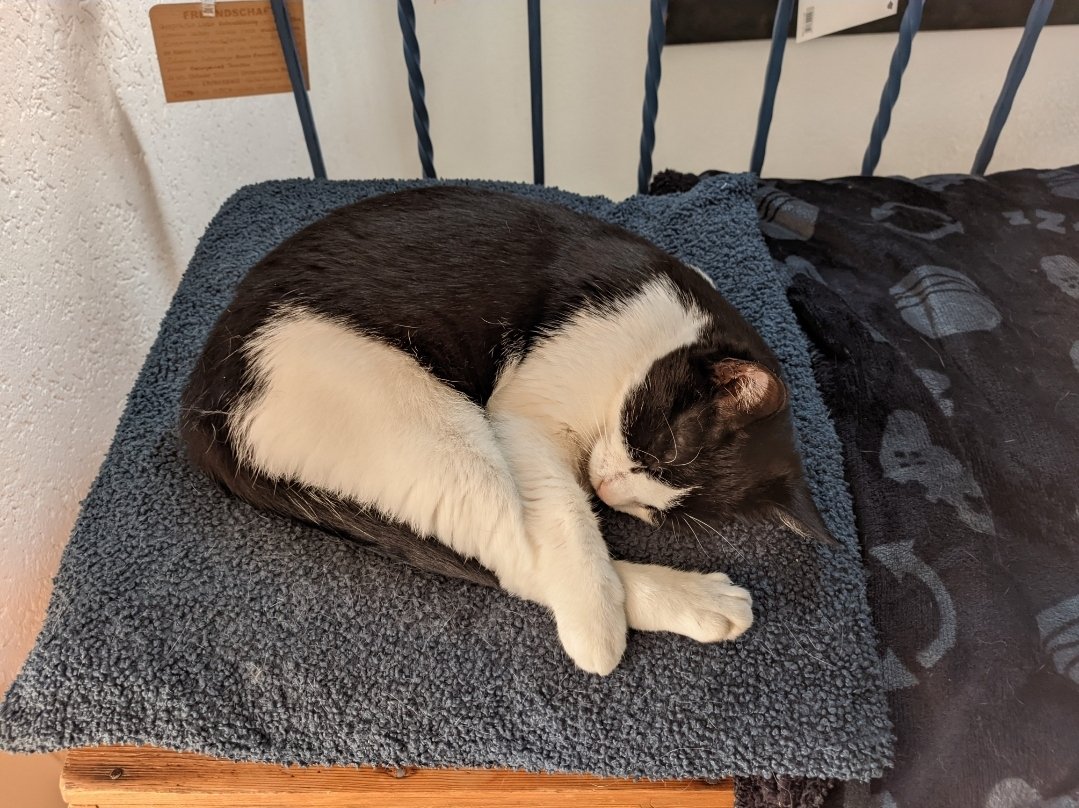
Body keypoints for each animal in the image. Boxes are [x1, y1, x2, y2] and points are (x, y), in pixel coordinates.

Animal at [180, 186, 835, 675]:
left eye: (655, 511)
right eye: (655, 448)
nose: (610, 493)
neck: (660, 329)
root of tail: (203, 396)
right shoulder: (522, 416)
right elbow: (566, 513)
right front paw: (598, 617)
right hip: (432, 426)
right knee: (519, 555)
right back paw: (647, 611)